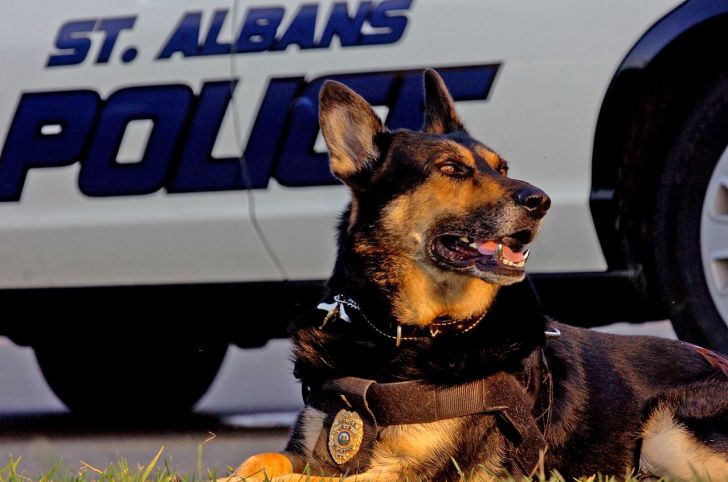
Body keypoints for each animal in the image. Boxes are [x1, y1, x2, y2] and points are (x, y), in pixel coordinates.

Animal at [225, 69, 728, 480]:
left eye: (501, 167)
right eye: (451, 169)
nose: (541, 201)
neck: (403, 334)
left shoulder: (414, 473)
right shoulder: (309, 449)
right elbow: (258, 461)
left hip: (668, 430)